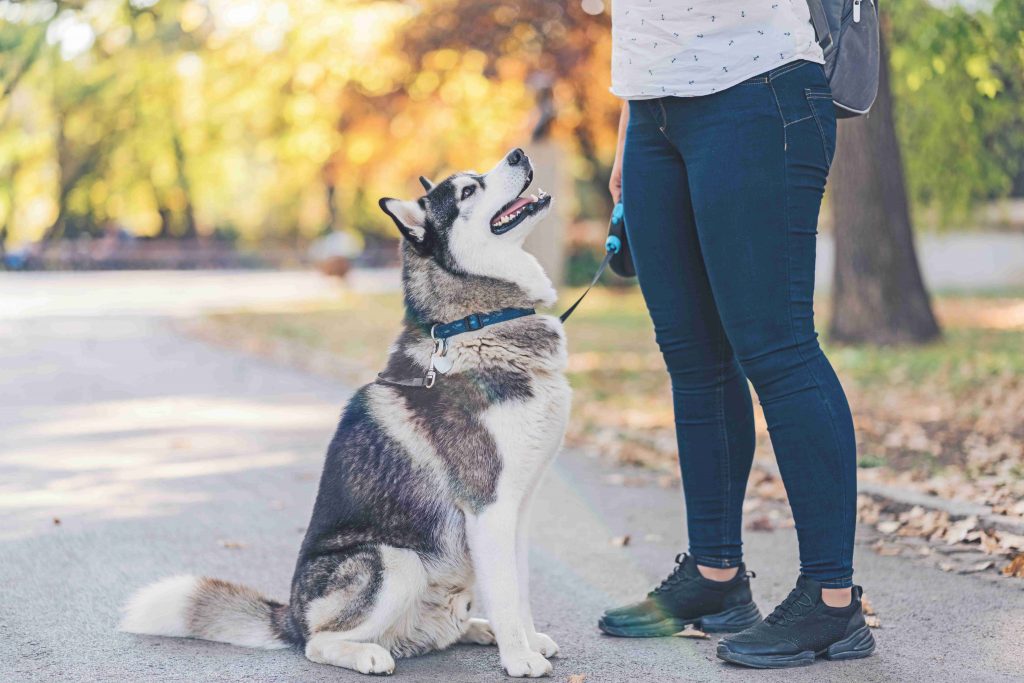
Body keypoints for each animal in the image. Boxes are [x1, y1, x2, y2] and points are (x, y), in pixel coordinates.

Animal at [121, 149, 569, 679]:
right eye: (467, 190)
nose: (519, 152)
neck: (475, 324)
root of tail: (290, 616)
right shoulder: (487, 507)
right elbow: (505, 593)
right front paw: (518, 659)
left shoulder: (516, 509)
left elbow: (518, 591)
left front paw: (525, 641)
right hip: (394, 560)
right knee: (319, 642)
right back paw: (367, 653)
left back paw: (474, 630)